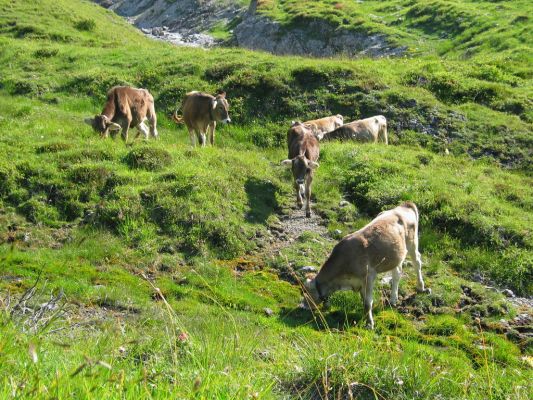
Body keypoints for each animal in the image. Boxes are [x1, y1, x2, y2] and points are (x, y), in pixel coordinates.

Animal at [302, 202, 430, 330]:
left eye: (305, 292)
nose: (303, 306)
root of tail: (405, 205)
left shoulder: (369, 277)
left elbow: (368, 303)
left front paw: (369, 324)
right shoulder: (359, 282)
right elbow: (364, 301)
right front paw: (364, 319)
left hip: (412, 243)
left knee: (417, 262)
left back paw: (421, 287)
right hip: (395, 255)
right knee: (397, 273)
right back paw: (393, 299)